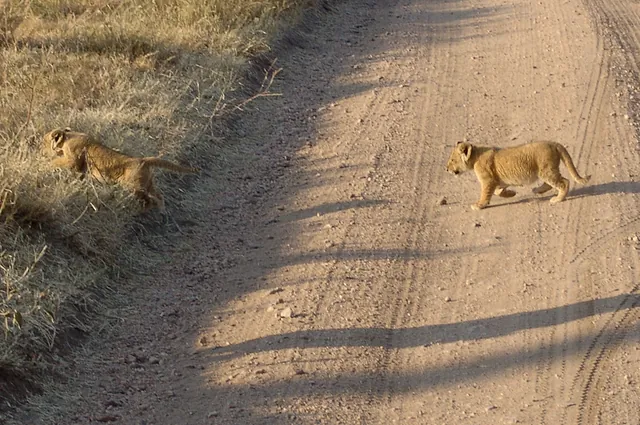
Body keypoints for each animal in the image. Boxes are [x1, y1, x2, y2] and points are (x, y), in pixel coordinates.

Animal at [42, 127, 198, 211]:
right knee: (159, 196)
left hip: (134, 186)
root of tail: (143, 160)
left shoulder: (73, 160)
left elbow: (58, 162)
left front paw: (45, 165)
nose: (40, 149)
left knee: (147, 200)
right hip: (148, 184)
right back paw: (161, 212)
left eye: (44, 141)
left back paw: (140, 210)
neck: (68, 137)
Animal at [446, 140, 591, 210]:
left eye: (452, 160)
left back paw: (557, 199)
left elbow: (485, 194)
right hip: (545, 171)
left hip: (546, 171)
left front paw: (479, 205)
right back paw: (537, 190)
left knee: (564, 182)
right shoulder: (498, 180)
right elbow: (498, 191)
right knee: (551, 184)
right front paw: (512, 194)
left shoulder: (488, 181)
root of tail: (553, 143)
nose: (446, 169)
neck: (475, 156)